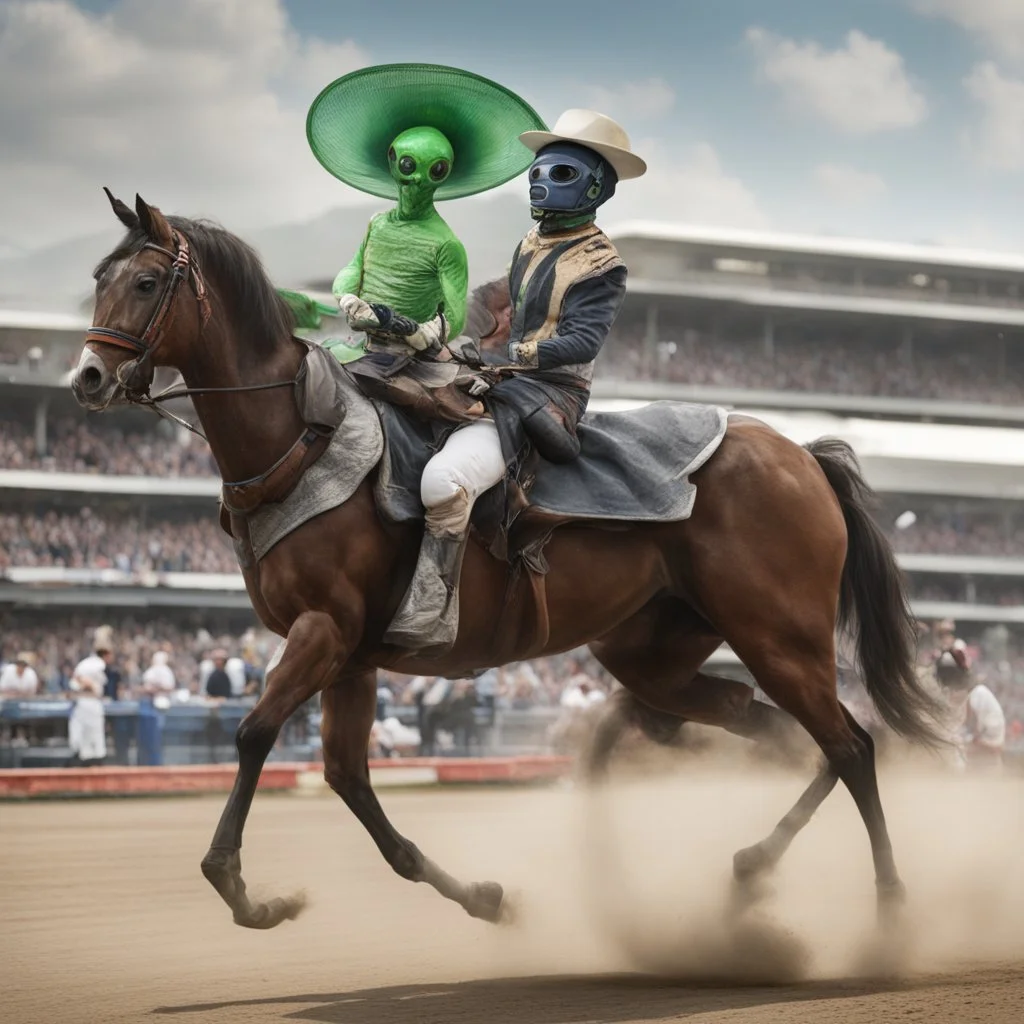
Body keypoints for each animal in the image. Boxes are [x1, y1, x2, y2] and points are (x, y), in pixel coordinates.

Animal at [75, 193, 942, 937]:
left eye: (145, 282)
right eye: (98, 279)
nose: (86, 378)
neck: (302, 440)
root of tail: (801, 453)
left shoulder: (325, 630)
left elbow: (255, 733)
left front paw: (239, 887)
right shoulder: (350, 655)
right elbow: (350, 780)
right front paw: (484, 897)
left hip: (779, 637)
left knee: (851, 745)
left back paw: (892, 909)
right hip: (655, 653)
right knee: (774, 732)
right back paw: (751, 867)